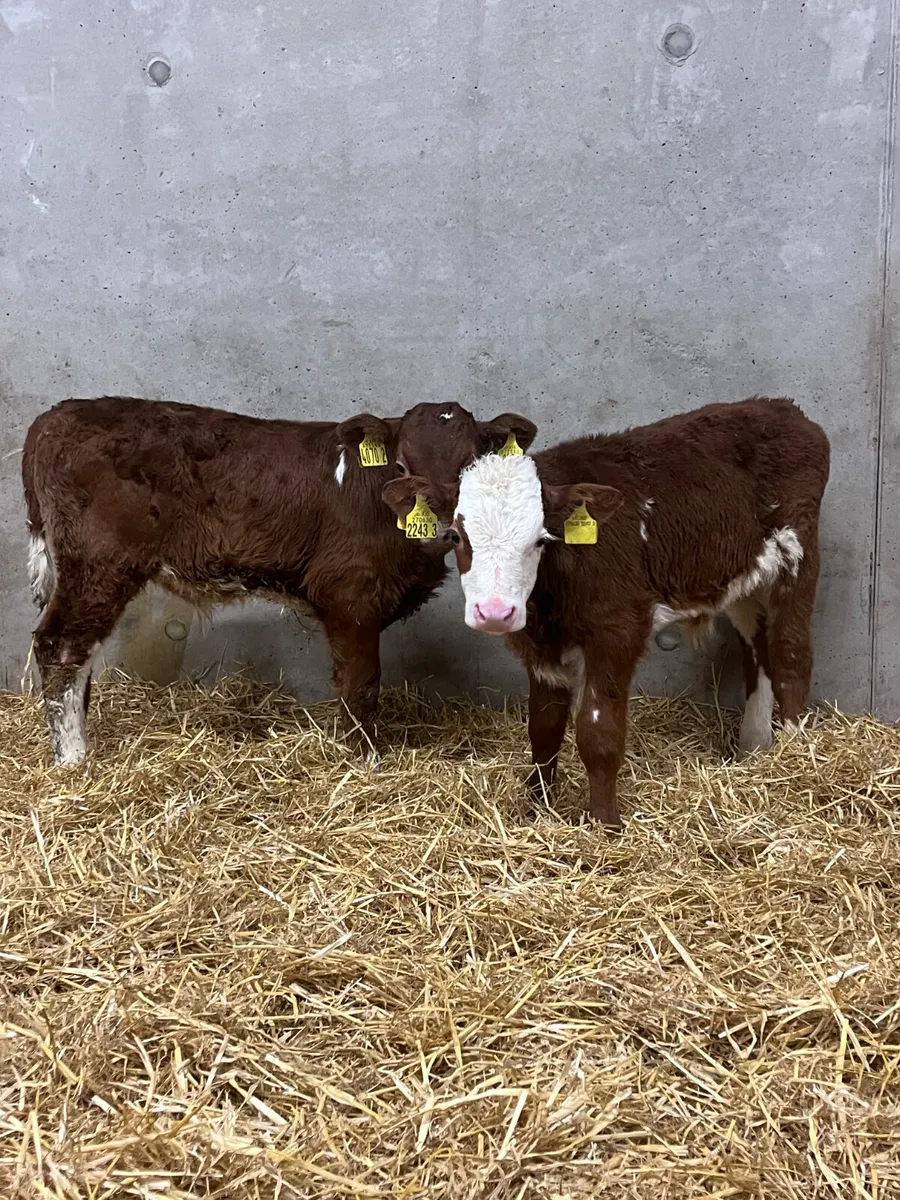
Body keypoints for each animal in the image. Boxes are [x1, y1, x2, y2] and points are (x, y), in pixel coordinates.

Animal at [22, 396, 536, 766]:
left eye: (471, 464)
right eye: (402, 466)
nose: (444, 526)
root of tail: (52, 417)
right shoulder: (348, 592)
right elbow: (361, 682)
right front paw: (364, 760)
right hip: (99, 563)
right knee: (61, 647)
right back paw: (74, 761)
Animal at [382, 397, 831, 830]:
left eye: (540, 539)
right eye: (459, 536)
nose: (494, 612)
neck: (549, 599)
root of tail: (784, 408)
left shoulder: (618, 628)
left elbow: (598, 732)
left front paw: (605, 825)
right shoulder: (540, 643)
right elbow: (543, 729)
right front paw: (537, 808)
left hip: (798, 556)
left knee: (790, 655)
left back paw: (794, 755)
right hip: (746, 582)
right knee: (758, 651)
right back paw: (755, 752)